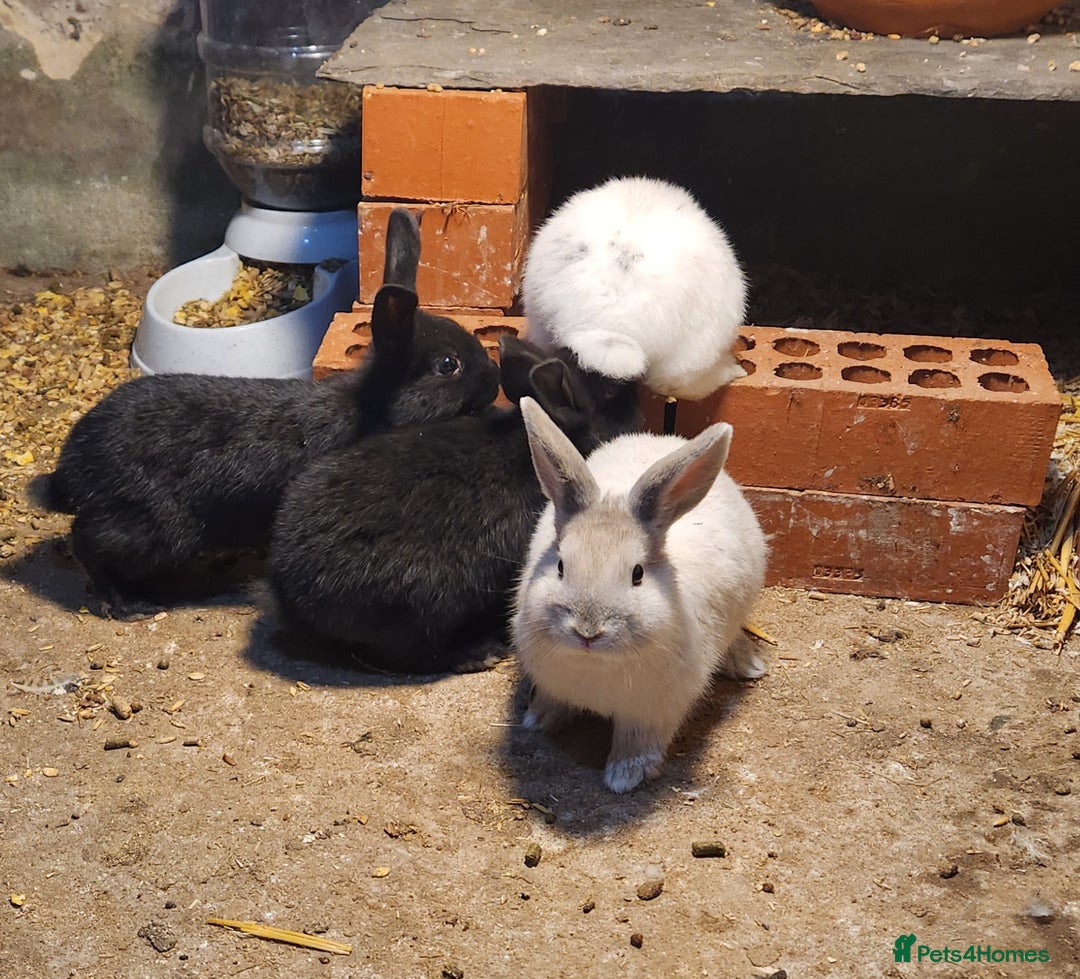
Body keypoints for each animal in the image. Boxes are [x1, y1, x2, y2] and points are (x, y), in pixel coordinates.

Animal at [28, 207, 501, 615]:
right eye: (448, 365)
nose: (494, 378)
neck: (368, 408)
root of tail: (71, 473)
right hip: (153, 529)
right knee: (89, 544)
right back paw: (127, 604)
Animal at [511, 396, 768, 793]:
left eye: (637, 574)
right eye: (561, 566)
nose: (588, 631)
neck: (595, 664)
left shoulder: (653, 712)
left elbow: (638, 743)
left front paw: (624, 777)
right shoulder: (554, 684)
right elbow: (555, 703)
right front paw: (538, 720)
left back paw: (748, 663)